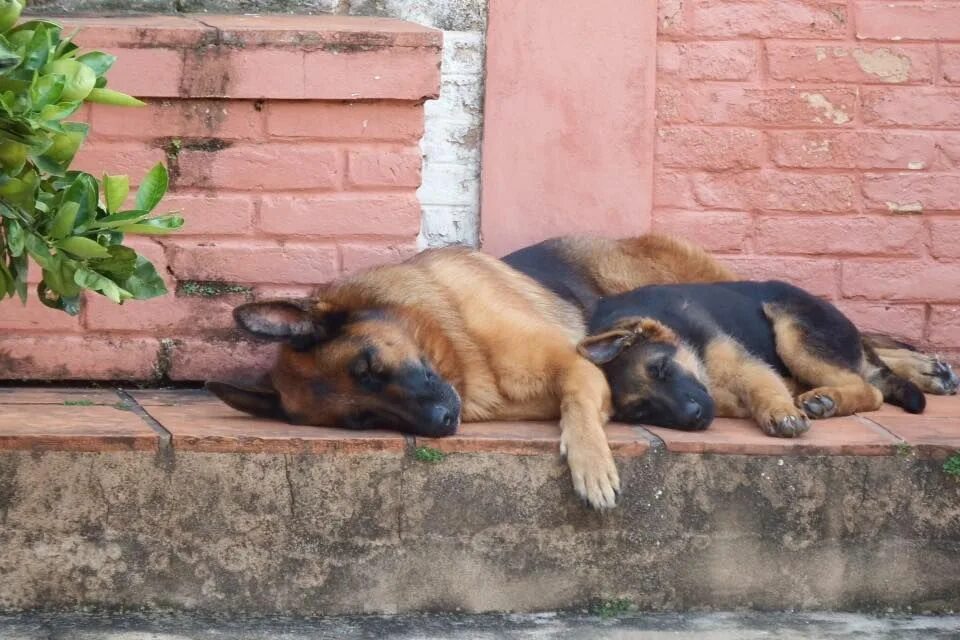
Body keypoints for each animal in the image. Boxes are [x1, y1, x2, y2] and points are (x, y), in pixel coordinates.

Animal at [572, 280, 928, 436]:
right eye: (641, 411)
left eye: (660, 368)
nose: (694, 417)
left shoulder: (742, 364)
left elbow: (760, 386)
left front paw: (781, 413)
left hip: (793, 334)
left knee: (872, 391)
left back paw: (825, 399)